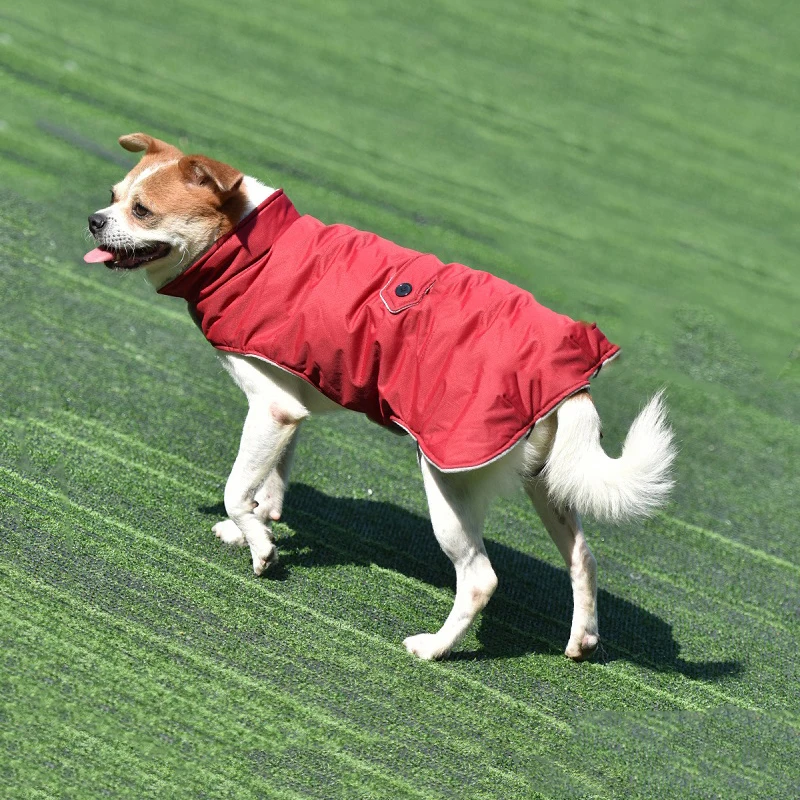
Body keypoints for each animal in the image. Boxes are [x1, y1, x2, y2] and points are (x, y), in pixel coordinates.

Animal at [86, 134, 676, 664]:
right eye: (113, 195)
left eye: (141, 211)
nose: (94, 219)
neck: (253, 250)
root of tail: (570, 385)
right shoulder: (289, 412)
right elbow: (268, 485)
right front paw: (255, 528)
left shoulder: (271, 408)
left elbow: (236, 488)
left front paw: (261, 549)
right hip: (547, 481)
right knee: (583, 557)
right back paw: (582, 641)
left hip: (447, 479)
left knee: (480, 578)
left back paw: (434, 649)